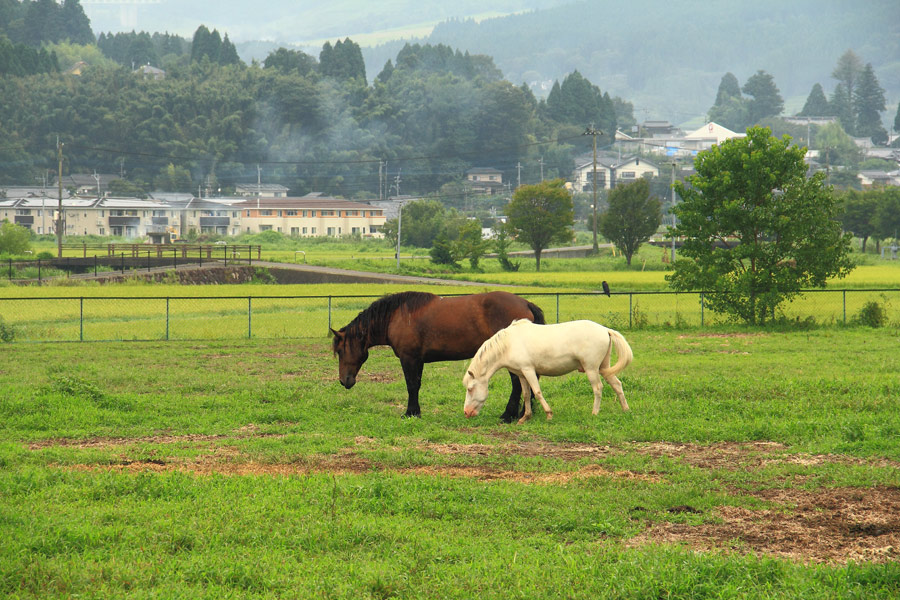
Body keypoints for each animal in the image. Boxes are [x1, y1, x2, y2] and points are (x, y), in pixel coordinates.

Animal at [328, 290, 540, 418]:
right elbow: (417, 385)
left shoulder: (409, 359)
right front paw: (415, 411)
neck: (396, 316)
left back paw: (508, 415)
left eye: (340, 350)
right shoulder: (418, 360)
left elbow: (411, 385)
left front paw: (410, 413)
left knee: (518, 384)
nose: (344, 381)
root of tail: (525, 303)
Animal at [464, 322, 632, 424]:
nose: (466, 412)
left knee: (598, 388)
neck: (509, 344)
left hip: (591, 369)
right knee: (617, 384)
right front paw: (525, 417)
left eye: (470, 389)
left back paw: (595, 413)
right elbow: (526, 394)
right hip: (604, 368)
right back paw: (625, 409)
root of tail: (605, 330)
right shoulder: (521, 374)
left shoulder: (528, 370)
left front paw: (549, 414)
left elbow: (537, 392)